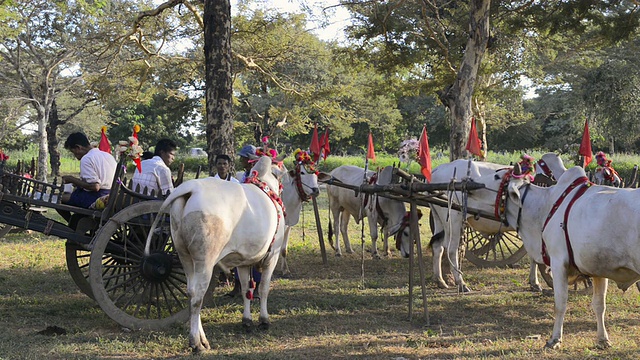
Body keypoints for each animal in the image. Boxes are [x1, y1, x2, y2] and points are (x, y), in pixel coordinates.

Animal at [146, 157, 286, 352]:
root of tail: (191, 187)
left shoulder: (243, 262)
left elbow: (246, 290)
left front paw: (247, 320)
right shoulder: (272, 256)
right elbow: (264, 288)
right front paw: (264, 320)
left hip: (184, 256)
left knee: (191, 293)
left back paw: (202, 339)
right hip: (205, 260)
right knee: (198, 296)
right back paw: (196, 343)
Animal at [428, 153, 564, 292]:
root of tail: (438, 169)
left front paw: (534, 282)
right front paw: (543, 280)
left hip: (439, 219)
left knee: (437, 247)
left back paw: (440, 280)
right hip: (453, 220)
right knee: (451, 249)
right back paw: (461, 283)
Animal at [502, 166, 640, 348]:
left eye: (502, 187)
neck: (548, 205)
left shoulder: (558, 263)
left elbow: (560, 303)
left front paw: (554, 339)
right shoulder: (598, 269)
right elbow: (599, 304)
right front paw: (602, 339)